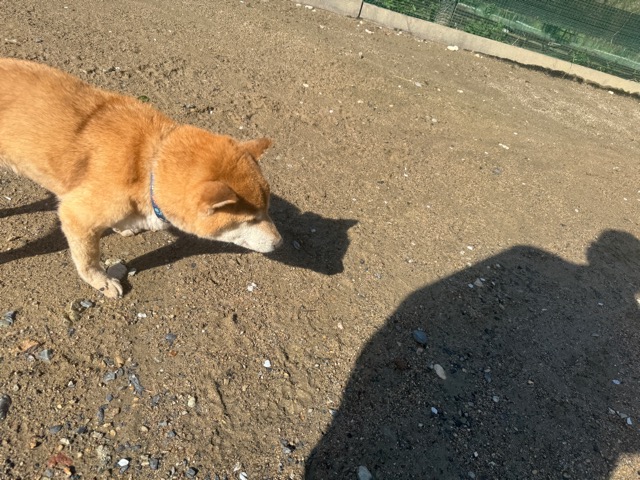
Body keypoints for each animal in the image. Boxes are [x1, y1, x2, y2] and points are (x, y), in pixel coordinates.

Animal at [0, 58, 282, 298]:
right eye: (251, 219)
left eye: (267, 210)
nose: (280, 243)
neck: (148, 165)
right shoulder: (76, 215)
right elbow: (88, 259)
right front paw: (101, 281)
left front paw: (124, 226)